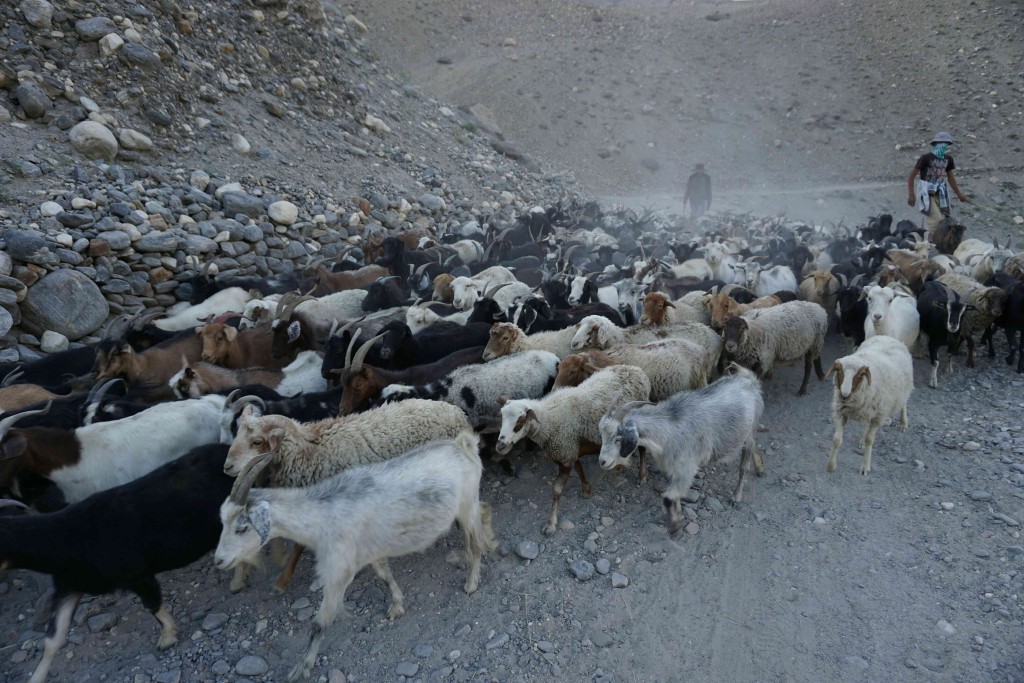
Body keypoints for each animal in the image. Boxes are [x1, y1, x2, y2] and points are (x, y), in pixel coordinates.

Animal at [823, 335, 913, 475]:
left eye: (860, 375)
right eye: (839, 370)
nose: (844, 394)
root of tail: (887, 336)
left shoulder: (878, 417)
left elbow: (869, 440)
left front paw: (865, 466)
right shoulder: (840, 413)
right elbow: (837, 439)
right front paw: (831, 466)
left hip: (903, 391)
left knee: (903, 404)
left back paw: (903, 423)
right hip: (869, 408)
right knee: (866, 423)